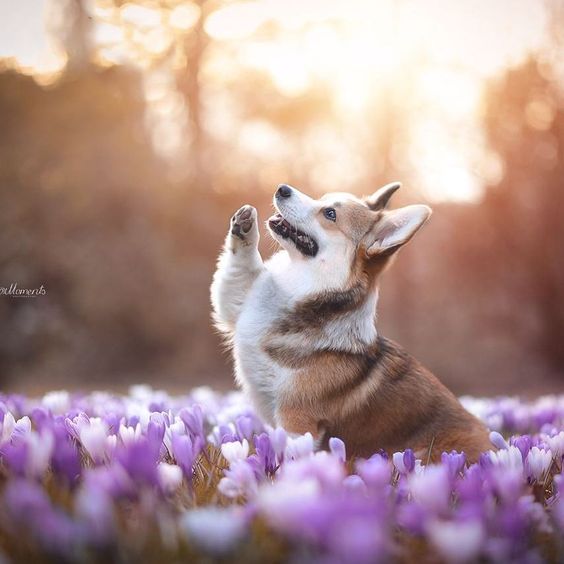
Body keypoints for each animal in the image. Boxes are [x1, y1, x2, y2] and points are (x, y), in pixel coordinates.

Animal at [209, 183, 492, 460]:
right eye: (322, 198)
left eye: (330, 214)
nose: (282, 189)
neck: (304, 291)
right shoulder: (237, 302)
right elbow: (238, 270)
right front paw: (244, 226)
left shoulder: (297, 422)